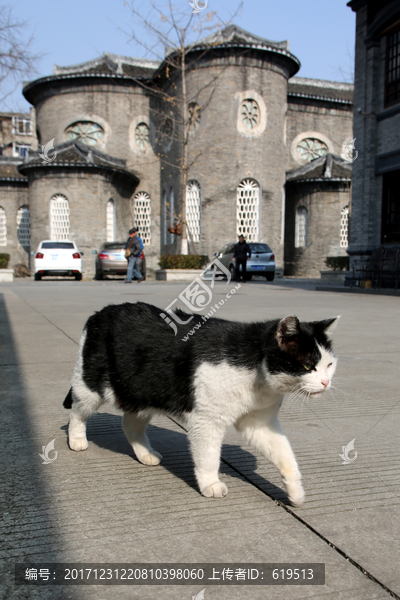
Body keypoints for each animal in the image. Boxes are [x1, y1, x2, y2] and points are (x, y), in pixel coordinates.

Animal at [63, 302, 338, 504]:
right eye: (308, 366)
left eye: (329, 365)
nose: (326, 382)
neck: (258, 376)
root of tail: (102, 312)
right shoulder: (207, 422)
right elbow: (208, 457)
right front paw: (210, 484)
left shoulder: (260, 423)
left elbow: (286, 456)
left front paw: (295, 492)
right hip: (91, 387)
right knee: (77, 411)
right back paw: (76, 440)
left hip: (143, 392)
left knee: (130, 424)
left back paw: (145, 454)